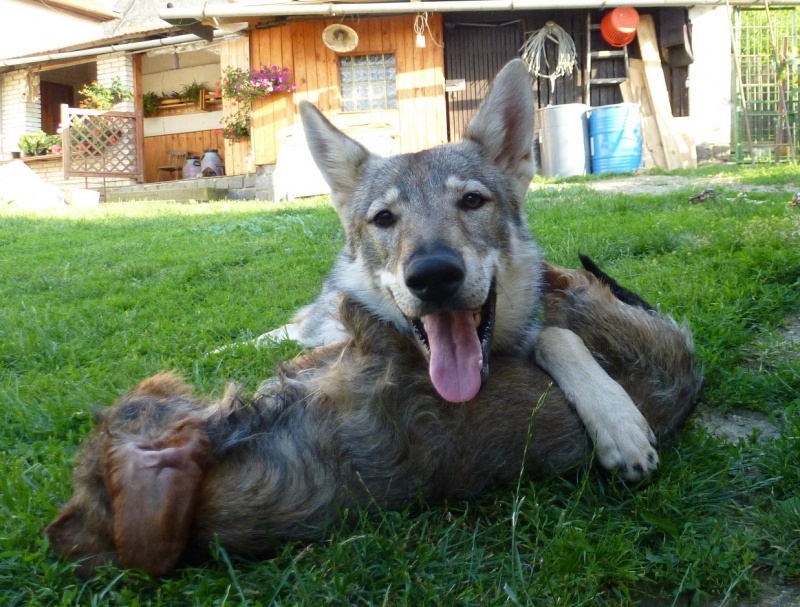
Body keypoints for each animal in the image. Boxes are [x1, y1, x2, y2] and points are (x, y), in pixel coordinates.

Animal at [262, 59, 656, 482]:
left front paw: (618, 421)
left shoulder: (533, 336)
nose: (433, 275)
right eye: (384, 218)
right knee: (291, 329)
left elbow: (559, 336)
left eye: (471, 200)